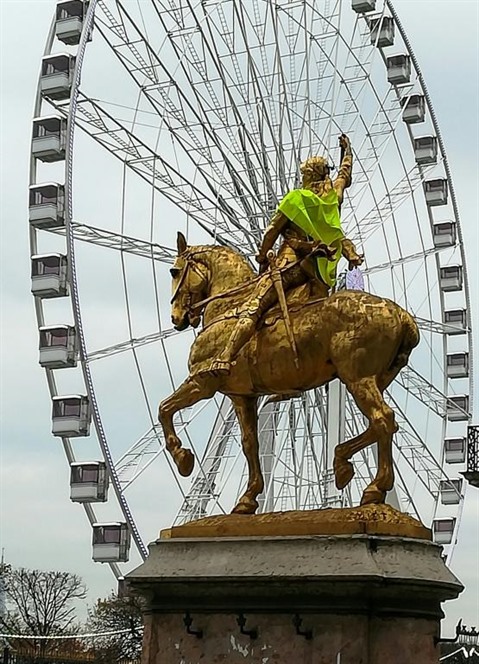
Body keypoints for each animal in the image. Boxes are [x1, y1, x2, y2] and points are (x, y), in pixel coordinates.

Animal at [158, 233, 420, 512]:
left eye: (174, 271)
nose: (176, 318)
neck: (229, 307)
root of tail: (404, 317)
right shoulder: (242, 396)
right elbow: (250, 443)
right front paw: (248, 498)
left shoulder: (202, 382)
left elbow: (164, 409)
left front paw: (183, 458)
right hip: (376, 379)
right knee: (381, 424)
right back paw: (342, 463)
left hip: (357, 378)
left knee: (383, 418)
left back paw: (375, 487)